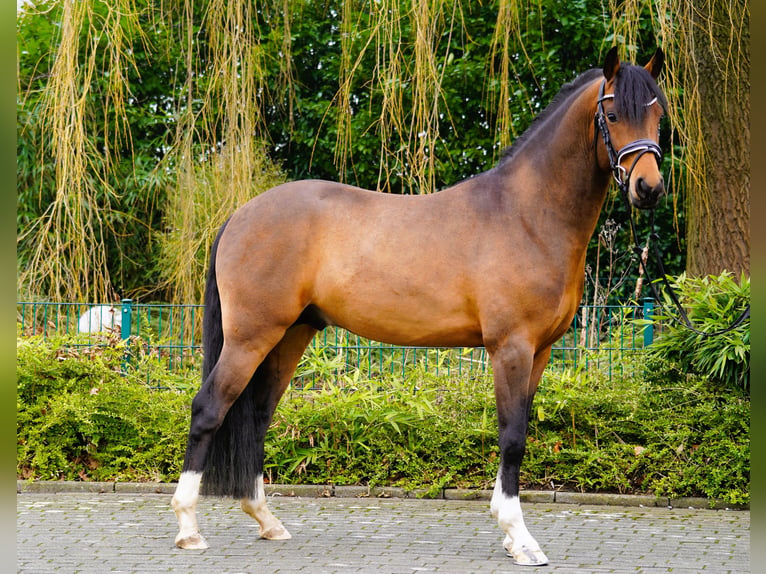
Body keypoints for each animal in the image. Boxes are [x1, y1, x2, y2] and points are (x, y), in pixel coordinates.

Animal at [172, 48, 664, 568]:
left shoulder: (541, 351)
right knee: (209, 408)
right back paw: (188, 529)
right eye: (613, 114)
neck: (527, 215)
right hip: (251, 337)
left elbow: (521, 430)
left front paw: (510, 535)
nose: (648, 188)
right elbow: (512, 435)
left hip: (290, 336)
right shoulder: (511, 347)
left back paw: (267, 521)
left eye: (658, 114)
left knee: (259, 416)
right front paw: (521, 538)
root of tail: (240, 215)